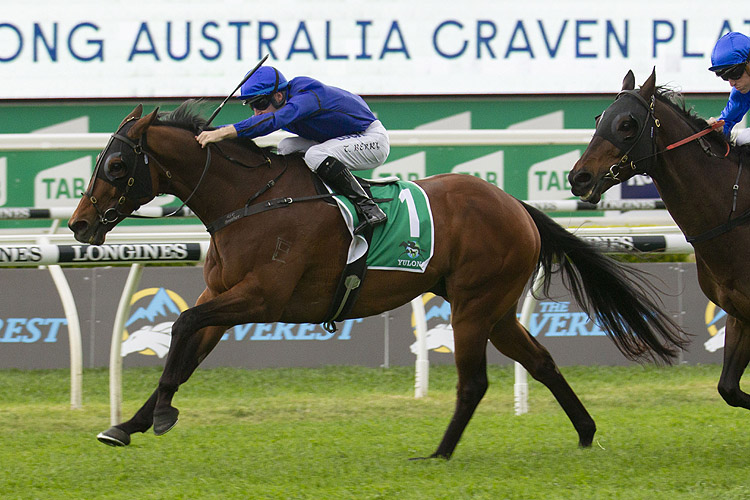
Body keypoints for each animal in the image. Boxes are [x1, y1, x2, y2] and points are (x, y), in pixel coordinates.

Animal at [69, 102, 688, 460]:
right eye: (99, 161)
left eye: (118, 166)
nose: (79, 224)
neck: (249, 201)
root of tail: (514, 203)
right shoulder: (222, 298)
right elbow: (185, 350)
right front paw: (126, 424)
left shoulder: (258, 298)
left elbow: (182, 328)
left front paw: (159, 417)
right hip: (495, 307)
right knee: (540, 362)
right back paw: (584, 431)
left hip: (473, 305)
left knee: (474, 382)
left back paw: (439, 453)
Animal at [568, 70, 750, 412]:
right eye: (600, 118)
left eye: (627, 124)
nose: (579, 178)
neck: (734, 211)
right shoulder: (738, 313)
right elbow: (729, 389)